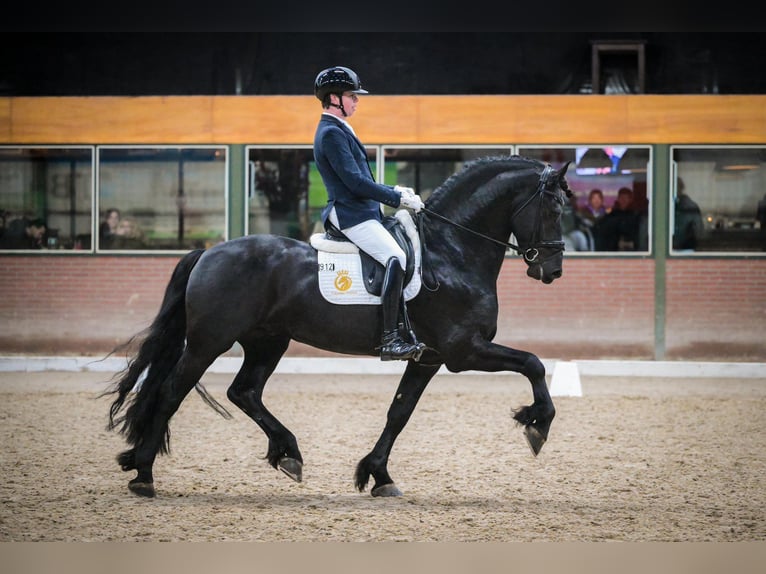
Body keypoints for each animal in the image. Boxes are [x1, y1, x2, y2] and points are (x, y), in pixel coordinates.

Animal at [104, 155, 572, 498]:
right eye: (553, 208)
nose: (552, 271)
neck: (452, 251)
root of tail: (208, 251)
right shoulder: (463, 350)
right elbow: (533, 363)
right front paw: (537, 423)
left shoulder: (429, 358)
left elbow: (399, 412)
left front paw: (378, 475)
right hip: (208, 342)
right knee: (171, 392)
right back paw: (143, 474)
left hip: (268, 341)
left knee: (244, 391)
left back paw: (287, 454)